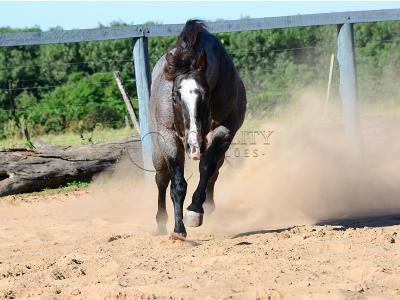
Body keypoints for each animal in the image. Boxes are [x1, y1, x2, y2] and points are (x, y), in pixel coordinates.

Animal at [148, 19, 245, 239]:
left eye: (206, 94)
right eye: (174, 97)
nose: (193, 144)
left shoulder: (225, 131)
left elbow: (207, 167)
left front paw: (194, 210)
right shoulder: (168, 137)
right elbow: (177, 183)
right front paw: (178, 230)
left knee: (215, 170)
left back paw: (208, 205)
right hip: (158, 149)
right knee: (161, 179)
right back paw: (160, 223)